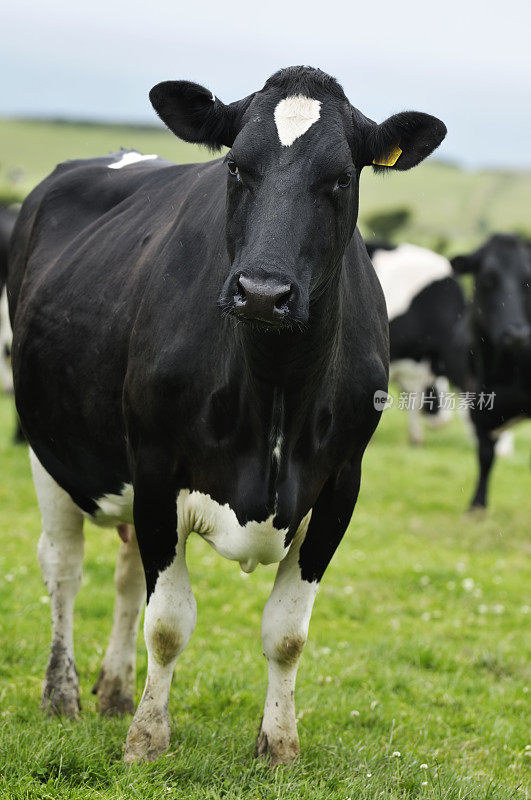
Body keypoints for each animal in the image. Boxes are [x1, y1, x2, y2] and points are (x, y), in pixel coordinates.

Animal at [7, 64, 444, 764]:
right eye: (236, 166)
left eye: (340, 178)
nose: (263, 292)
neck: (276, 388)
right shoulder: (156, 468)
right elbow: (168, 622)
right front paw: (147, 740)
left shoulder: (340, 486)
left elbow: (287, 631)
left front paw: (280, 745)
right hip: (50, 449)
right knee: (64, 569)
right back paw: (63, 695)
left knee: (124, 575)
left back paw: (114, 690)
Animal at [450, 231, 531, 506]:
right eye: (487, 280)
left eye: (527, 281)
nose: (516, 334)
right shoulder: (478, 407)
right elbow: (485, 456)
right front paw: (477, 505)